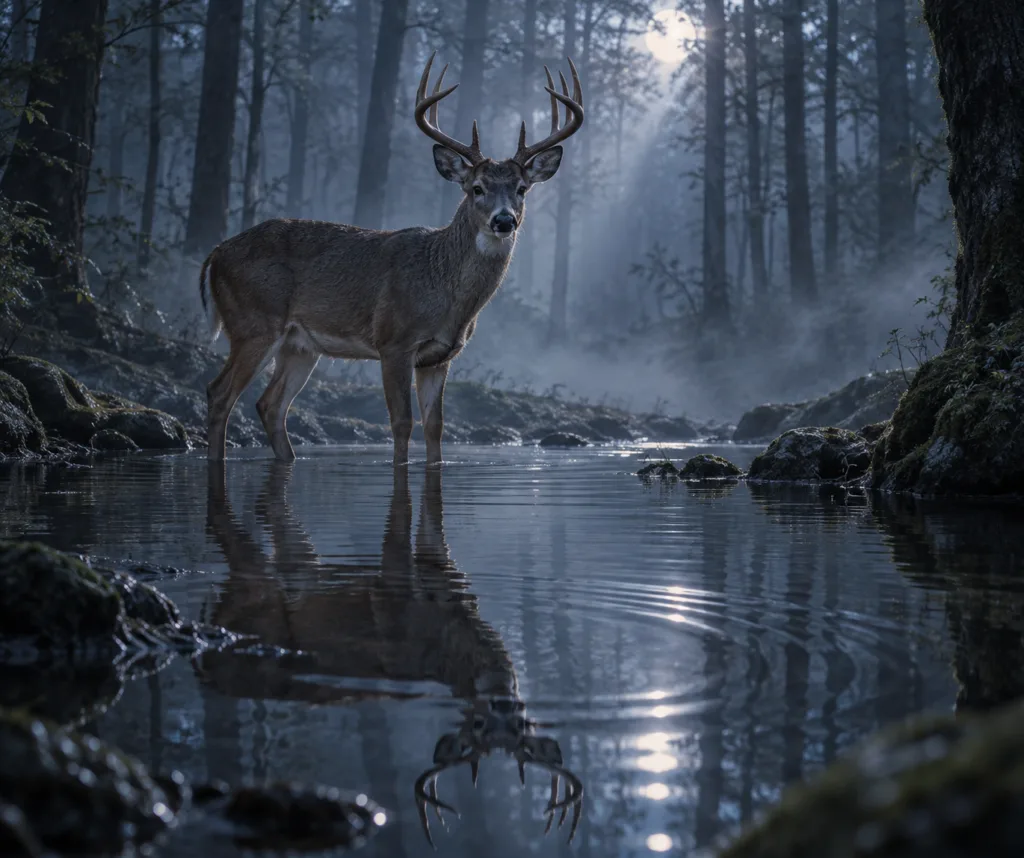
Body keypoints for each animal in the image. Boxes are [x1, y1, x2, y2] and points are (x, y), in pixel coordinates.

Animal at [199, 53, 585, 465]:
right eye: (477, 188)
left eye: (522, 189)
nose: (504, 220)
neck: (444, 288)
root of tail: (215, 254)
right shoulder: (394, 341)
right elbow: (401, 423)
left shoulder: (440, 356)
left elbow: (435, 427)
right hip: (254, 322)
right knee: (219, 393)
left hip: (299, 345)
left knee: (270, 404)